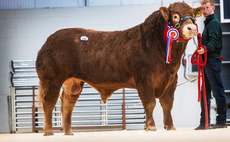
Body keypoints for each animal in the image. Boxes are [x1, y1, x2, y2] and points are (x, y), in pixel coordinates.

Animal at [36, 1, 205, 135]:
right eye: (175, 16)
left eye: (193, 15)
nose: (191, 28)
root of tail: (49, 41)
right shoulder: (144, 78)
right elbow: (150, 102)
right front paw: (150, 127)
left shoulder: (171, 79)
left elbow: (168, 104)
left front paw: (170, 127)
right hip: (51, 79)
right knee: (49, 102)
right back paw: (49, 131)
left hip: (73, 82)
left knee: (67, 104)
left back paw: (68, 132)